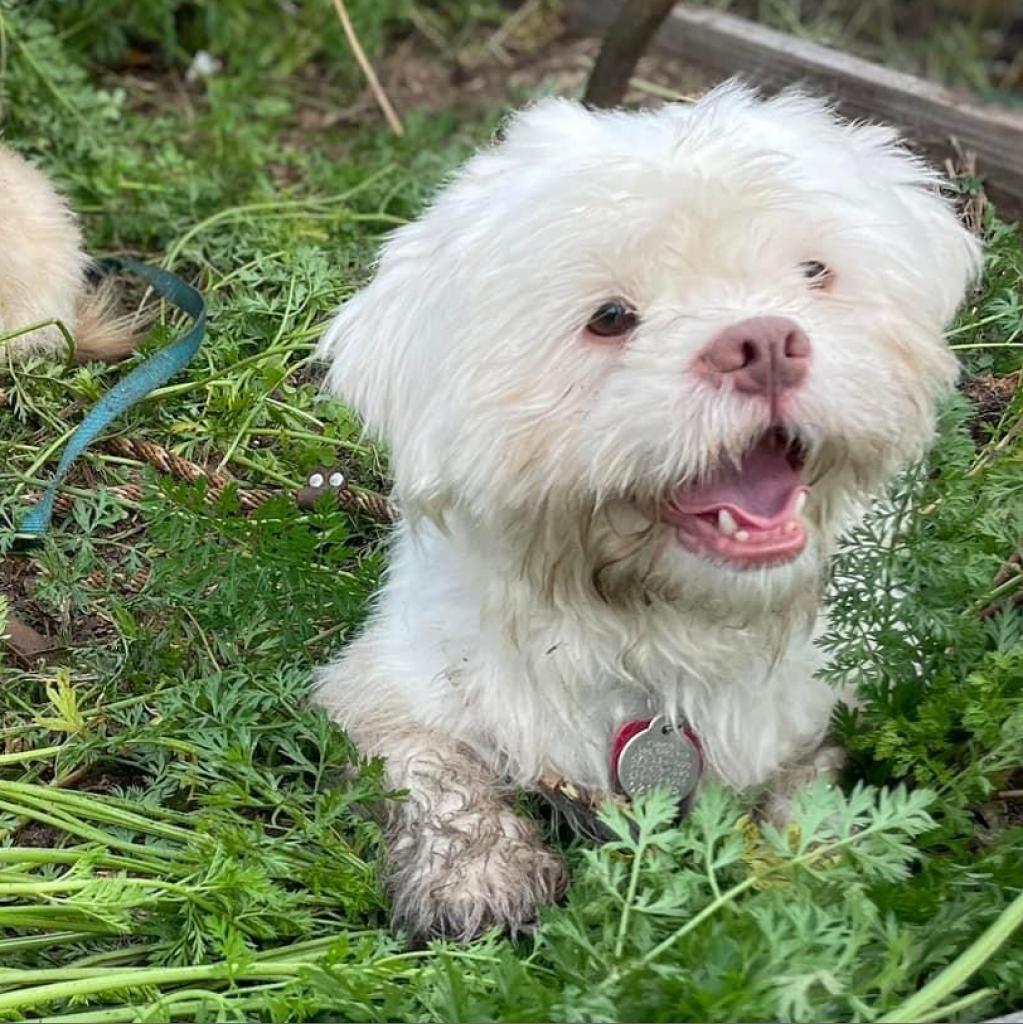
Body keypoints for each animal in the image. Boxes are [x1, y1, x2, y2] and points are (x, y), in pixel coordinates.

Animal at [313, 83, 983, 937]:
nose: (765, 343)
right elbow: (430, 762)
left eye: (813, 272)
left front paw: (810, 864)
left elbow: (813, 784)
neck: (663, 637)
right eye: (609, 317)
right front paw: (475, 872)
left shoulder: (840, 691)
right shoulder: (392, 678)